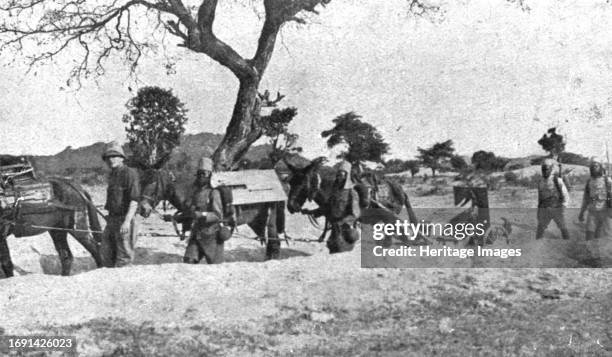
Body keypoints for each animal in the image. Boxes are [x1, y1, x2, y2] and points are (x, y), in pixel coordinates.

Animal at [137, 167, 286, 262]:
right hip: (256, 221)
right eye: (142, 182)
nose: (142, 209)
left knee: (275, 243)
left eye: (153, 184)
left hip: (270, 221)